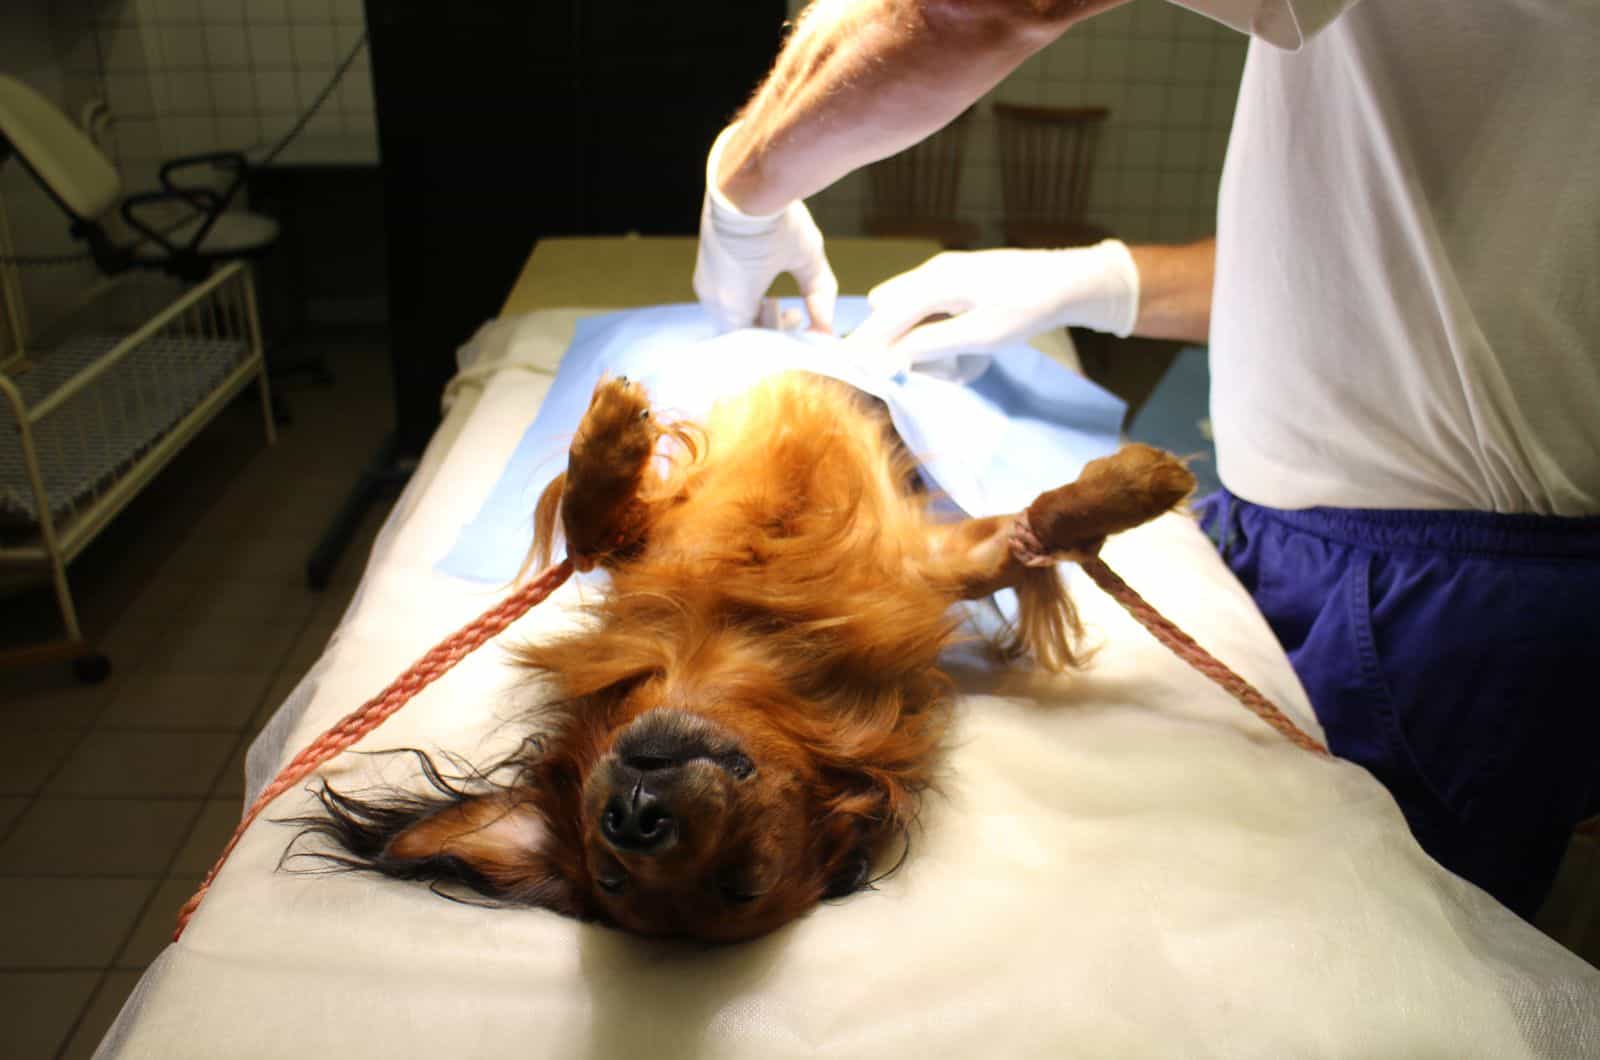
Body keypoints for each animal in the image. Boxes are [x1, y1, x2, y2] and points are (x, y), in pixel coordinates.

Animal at [294, 373, 1196, 947]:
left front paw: (1141, 483)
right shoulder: (642, 544)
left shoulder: (935, 565)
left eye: (742, 882)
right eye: (612, 874)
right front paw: (611, 437)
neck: (737, 641)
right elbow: (592, 520)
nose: (636, 819)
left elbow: (1047, 520)